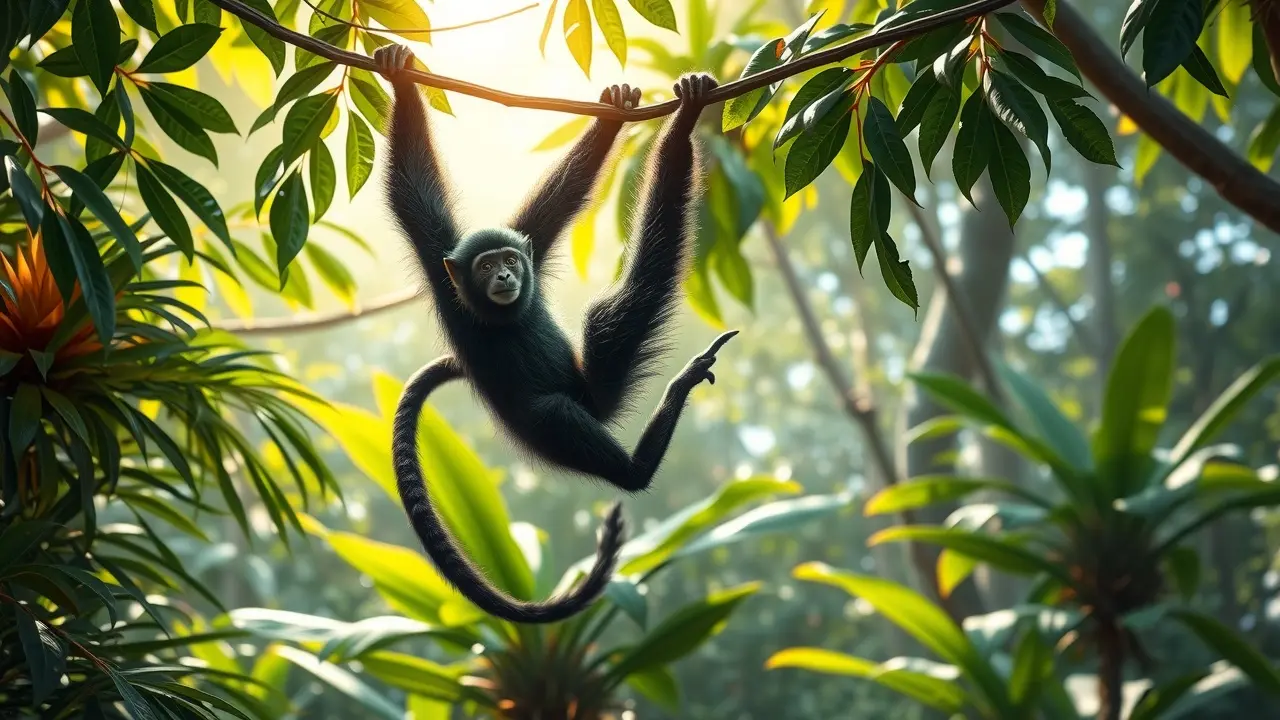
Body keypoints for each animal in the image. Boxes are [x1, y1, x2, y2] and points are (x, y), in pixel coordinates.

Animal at [374, 44, 736, 624]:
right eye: (486, 266)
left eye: (508, 260)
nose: (505, 277)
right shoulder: (442, 269)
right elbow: (409, 194)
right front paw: (400, 80)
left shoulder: (524, 245)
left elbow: (556, 200)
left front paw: (613, 114)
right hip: (563, 418)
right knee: (586, 376)